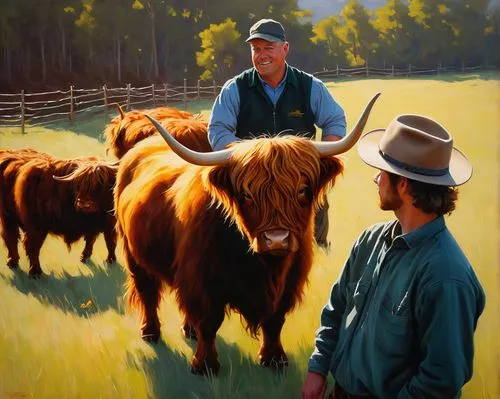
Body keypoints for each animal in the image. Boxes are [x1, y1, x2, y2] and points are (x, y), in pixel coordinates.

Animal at [115, 93, 380, 376]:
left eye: (302, 190)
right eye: (246, 195)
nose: (277, 240)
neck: (262, 267)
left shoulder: (288, 282)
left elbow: (274, 321)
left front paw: (274, 359)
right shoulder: (201, 280)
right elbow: (209, 322)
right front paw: (205, 365)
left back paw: (188, 331)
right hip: (133, 253)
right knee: (147, 291)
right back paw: (150, 332)